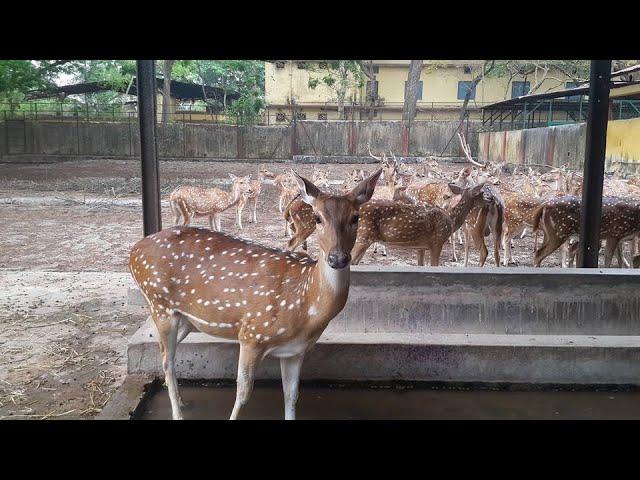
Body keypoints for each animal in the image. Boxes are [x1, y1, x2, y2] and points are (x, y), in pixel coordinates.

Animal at [129, 169, 380, 420]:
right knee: (167, 361)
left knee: (163, 353)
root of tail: (134, 251)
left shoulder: (295, 350)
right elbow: (243, 393)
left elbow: (291, 395)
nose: (337, 258)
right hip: (159, 304)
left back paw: (181, 402)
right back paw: (177, 413)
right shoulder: (252, 334)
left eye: (356, 217)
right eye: (317, 217)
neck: (306, 302)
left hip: (186, 319)